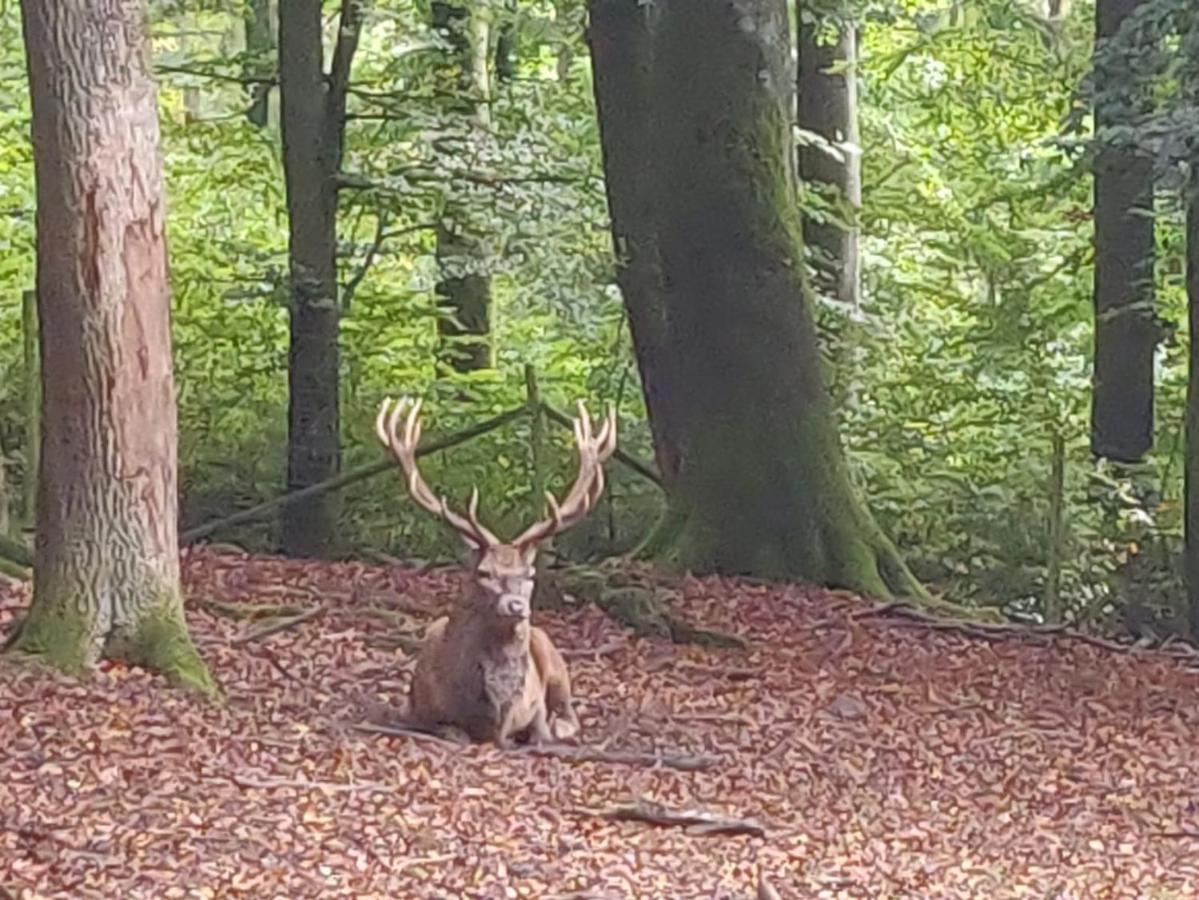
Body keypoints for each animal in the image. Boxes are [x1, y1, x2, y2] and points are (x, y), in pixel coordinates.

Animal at [374, 397, 618, 747]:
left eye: (529, 575)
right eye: (484, 573)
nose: (516, 606)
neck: (493, 717)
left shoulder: (534, 707)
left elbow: (542, 730)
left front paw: (544, 733)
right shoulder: (419, 710)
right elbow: (450, 731)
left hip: (553, 658)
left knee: (569, 711)